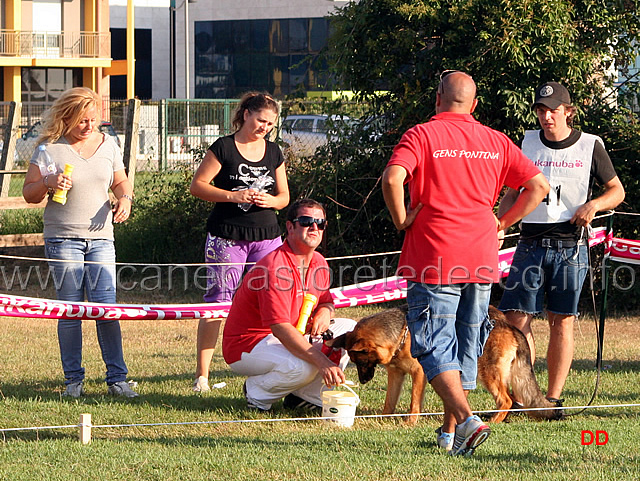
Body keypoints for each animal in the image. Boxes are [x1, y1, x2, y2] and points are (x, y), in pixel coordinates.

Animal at [328, 306, 564, 422]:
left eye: (360, 360)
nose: (363, 381)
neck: (402, 335)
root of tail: (508, 326)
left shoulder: (419, 374)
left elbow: (414, 403)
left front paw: (409, 423)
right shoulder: (396, 374)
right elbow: (389, 402)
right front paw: (383, 420)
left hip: (486, 373)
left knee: (506, 400)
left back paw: (494, 421)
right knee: (513, 399)